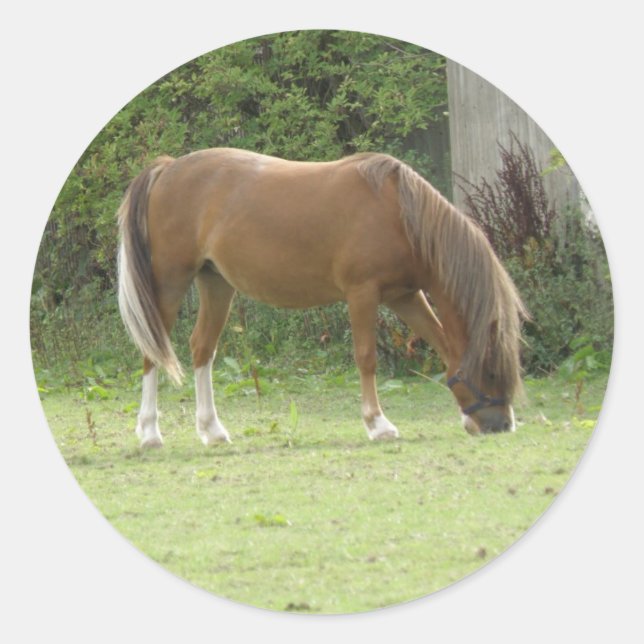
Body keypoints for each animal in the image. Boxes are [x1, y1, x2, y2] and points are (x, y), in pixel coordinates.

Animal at [117, 148, 525, 448]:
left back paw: (212, 430)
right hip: (170, 282)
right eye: (491, 370)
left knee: (202, 348)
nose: (501, 425)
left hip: (216, 283)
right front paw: (378, 424)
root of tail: (168, 169)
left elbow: (442, 344)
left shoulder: (406, 297)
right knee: (153, 351)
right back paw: (150, 433)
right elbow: (366, 358)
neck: (399, 215)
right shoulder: (363, 294)